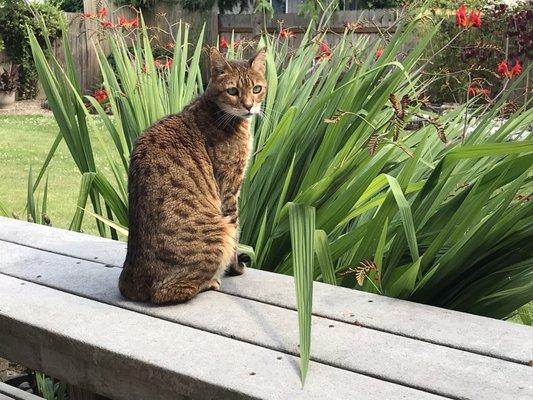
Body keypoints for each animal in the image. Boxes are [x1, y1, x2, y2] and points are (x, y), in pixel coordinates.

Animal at [117, 47, 264, 304]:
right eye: (233, 91)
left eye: (257, 88)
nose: (248, 106)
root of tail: (130, 283)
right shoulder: (230, 189)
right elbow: (237, 236)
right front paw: (236, 268)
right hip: (220, 232)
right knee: (168, 293)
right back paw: (209, 282)